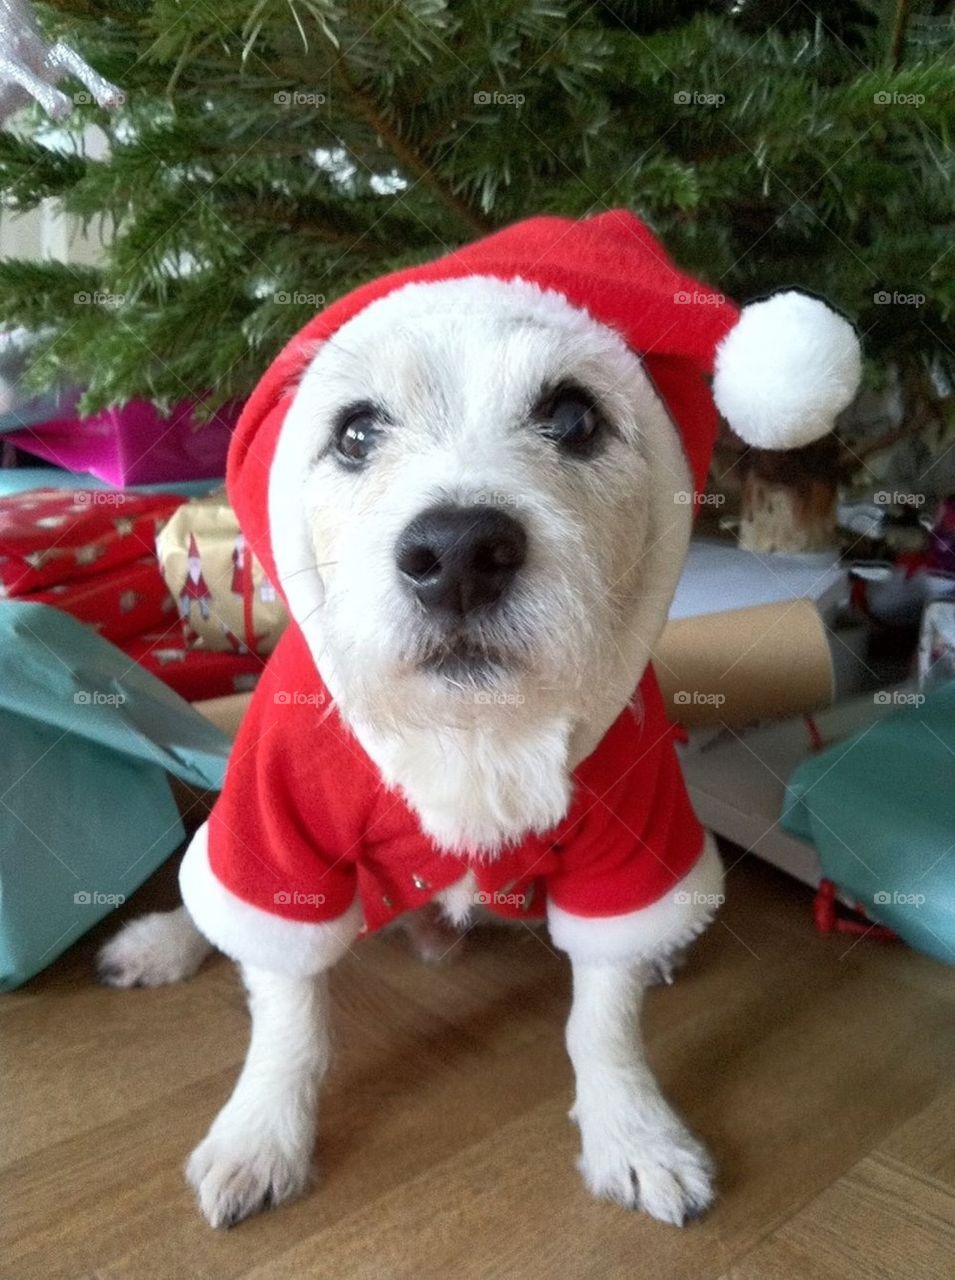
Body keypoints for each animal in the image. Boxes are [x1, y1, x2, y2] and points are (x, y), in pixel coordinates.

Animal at [100, 209, 860, 1228]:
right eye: (355, 430)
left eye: (574, 417)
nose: (457, 552)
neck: (469, 728)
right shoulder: (280, 837)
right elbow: (288, 1016)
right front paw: (262, 1133)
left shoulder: (627, 843)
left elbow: (603, 1019)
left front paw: (632, 1130)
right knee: (214, 895)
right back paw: (163, 941)